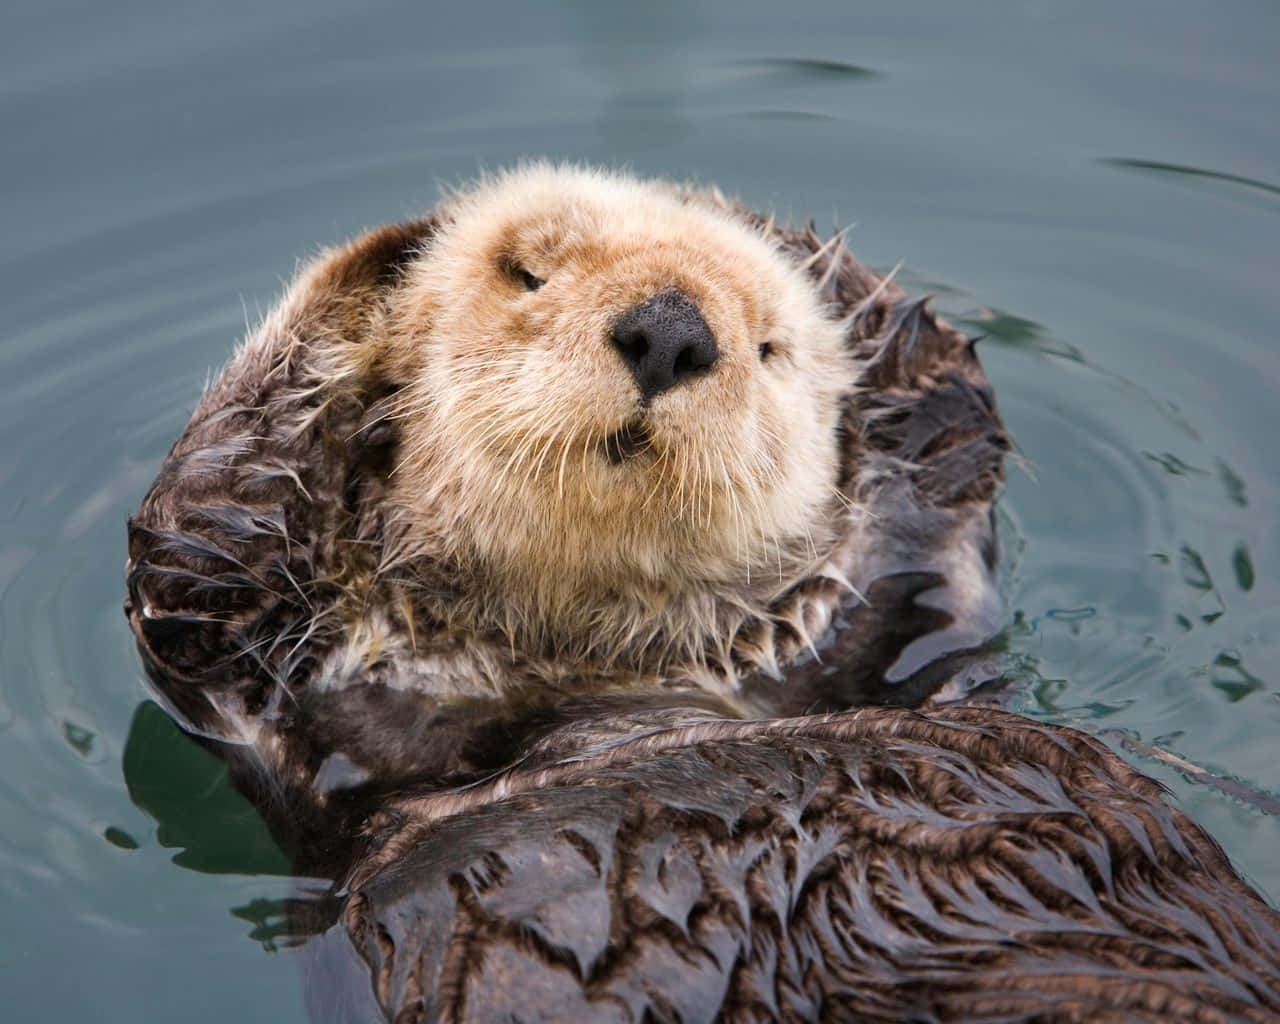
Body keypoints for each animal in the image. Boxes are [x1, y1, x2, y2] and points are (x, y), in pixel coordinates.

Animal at [122, 163, 1280, 1018]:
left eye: (769, 346)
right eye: (525, 274)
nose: (672, 328)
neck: (596, 687)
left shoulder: (906, 625)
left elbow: (941, 444)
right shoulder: (279, 705)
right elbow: (194, 549)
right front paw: (387, 265)